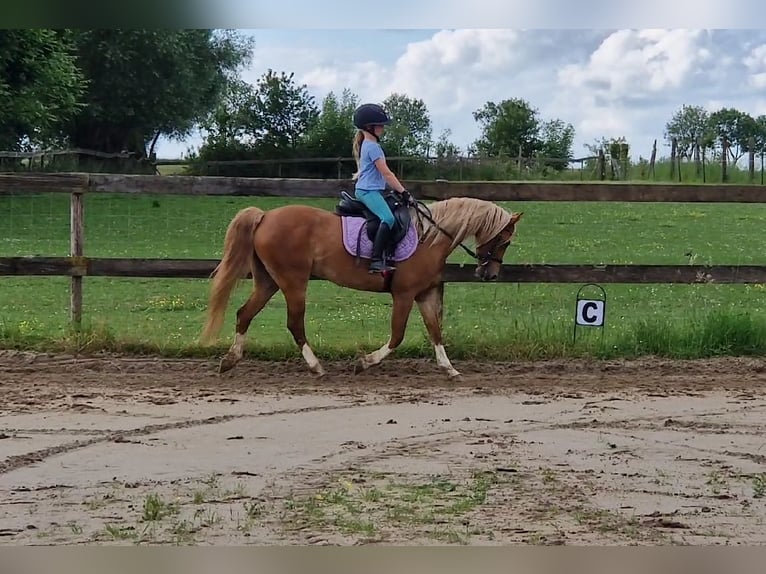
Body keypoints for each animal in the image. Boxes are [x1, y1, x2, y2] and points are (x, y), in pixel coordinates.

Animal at [200, 196, 520, 380]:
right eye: (504, 239)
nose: (489, 274)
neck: (430, 237)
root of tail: (265, 216)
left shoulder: (425, 293)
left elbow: (435, 331)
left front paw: (449, 369)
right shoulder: (404, 295)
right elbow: (397, 336)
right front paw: (365, 362)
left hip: (268, 281)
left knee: (244, 314)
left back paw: (230, 361)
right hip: (293, 281)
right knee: (294, 323)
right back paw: (316, 367)